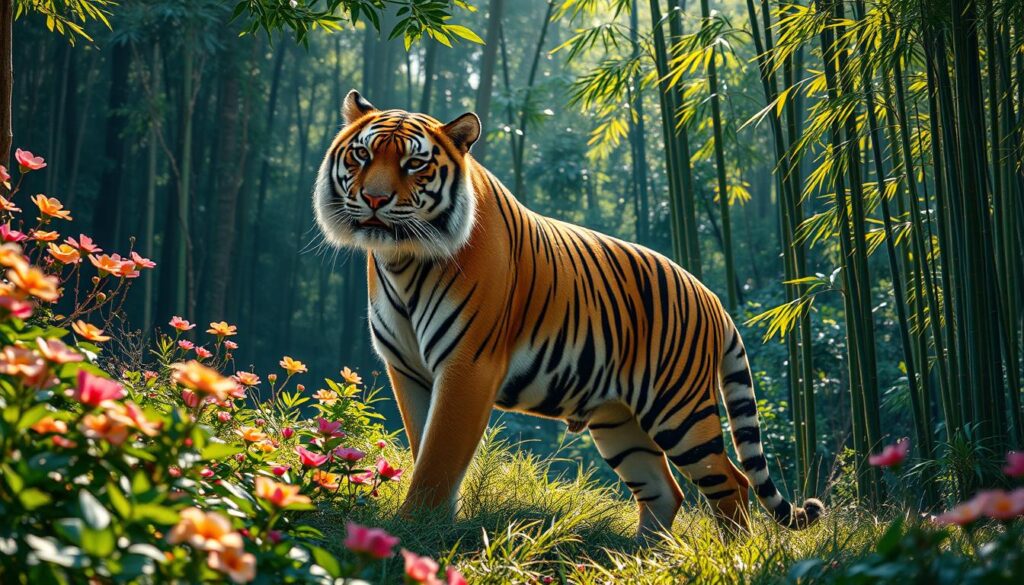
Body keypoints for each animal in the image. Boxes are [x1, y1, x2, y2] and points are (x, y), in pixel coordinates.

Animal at [313, 90, 823, 538]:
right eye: (362, 155)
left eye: (414, 164)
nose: (375, 199)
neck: (403, 260)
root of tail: (713, 298)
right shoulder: (408, 370)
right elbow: (426, 448)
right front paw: (435, 524)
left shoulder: (466, 367)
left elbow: (439, 454)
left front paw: (411, 529)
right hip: (619, 420)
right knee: (665, 491)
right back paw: (642, 556)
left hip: (679, 410)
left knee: (731, 483)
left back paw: (733, 552)